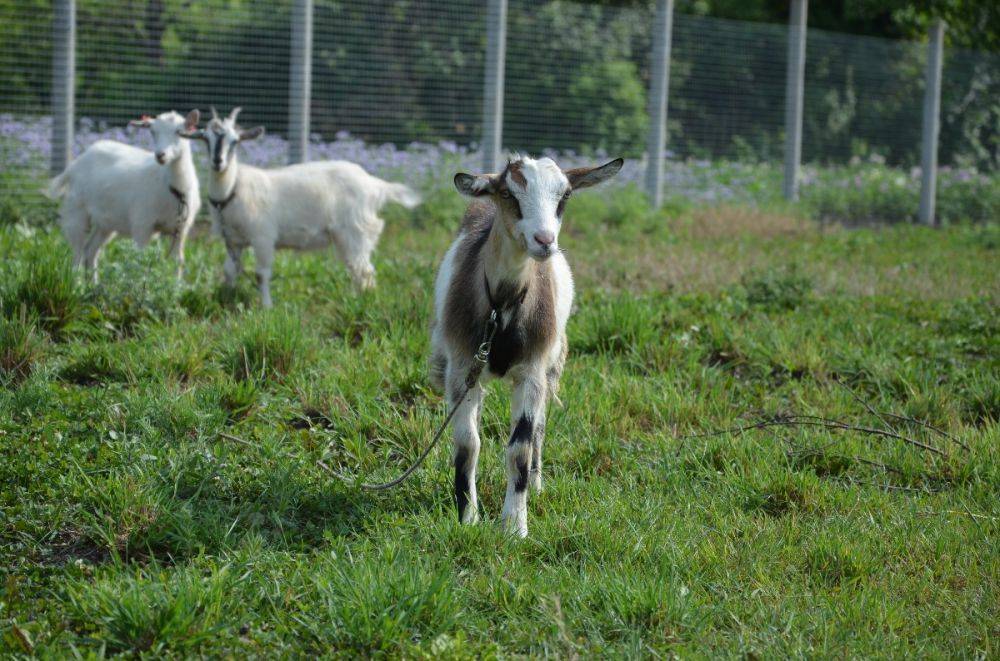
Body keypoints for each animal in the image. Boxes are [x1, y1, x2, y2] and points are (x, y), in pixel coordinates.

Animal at [46, 109, 201, 280]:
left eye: (179, 132)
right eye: (153, 131)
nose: (160, 155)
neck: (173, 188)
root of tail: (75, 164)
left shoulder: (180, 230)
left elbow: (177, 262)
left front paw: (175, 285)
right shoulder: (142, 224)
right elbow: (140, 259)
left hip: (105, 222)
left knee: (91, 250)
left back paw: (93, 284)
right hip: (77, 211)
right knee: (77, 252)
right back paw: (76, 283)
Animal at [182, 107, 420, 306]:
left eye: (235, 141)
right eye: (206, 139)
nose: (218, 162)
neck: (232, 189)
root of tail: (375, 185)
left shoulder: (263, 237)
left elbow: (261, 274)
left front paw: (266, 307)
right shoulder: (233, 240)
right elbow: (230, 271)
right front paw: (226, 298)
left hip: (357, 231)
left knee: (364, 270)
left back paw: (365, 303)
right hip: (346, 237)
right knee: (356, 269)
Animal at [432, 153, 624, 536]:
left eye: (565, 196)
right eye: (508, 193)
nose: (544, 240)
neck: (502, 307)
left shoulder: (532, 371)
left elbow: (519, 447)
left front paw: (514, 526)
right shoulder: (460, 369)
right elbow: (467, 443)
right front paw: (468, 517)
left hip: (553, 362)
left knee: (539, 429)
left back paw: (535, 485)